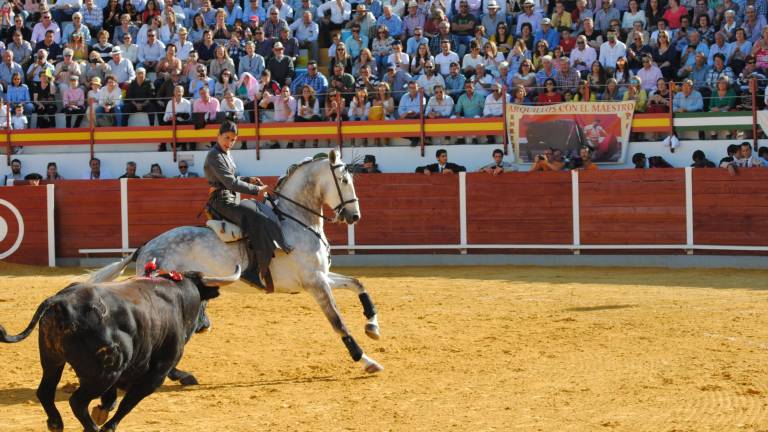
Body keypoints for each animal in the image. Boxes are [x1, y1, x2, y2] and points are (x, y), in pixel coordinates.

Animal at [0, 268, 238, 430]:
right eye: (205, 304)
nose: (207, 324)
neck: (178, 298)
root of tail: (61, 300)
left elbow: (112, 398)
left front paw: (102, 411)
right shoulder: (157, 371)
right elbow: (128, 402)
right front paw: (106, 424)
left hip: (52, 360)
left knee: (45, 391)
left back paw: (56, 423)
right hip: (104, 373)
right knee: (77, 401)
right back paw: (91, 428)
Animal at [88, 150, 384, 372]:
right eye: (343, 180)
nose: (354, 216)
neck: (296, 221)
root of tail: (146, 247)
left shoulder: (320, 276)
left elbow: (357, 283)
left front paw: (372, 326)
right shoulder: (315, 282)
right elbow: (337, 321)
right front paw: (366, 360)